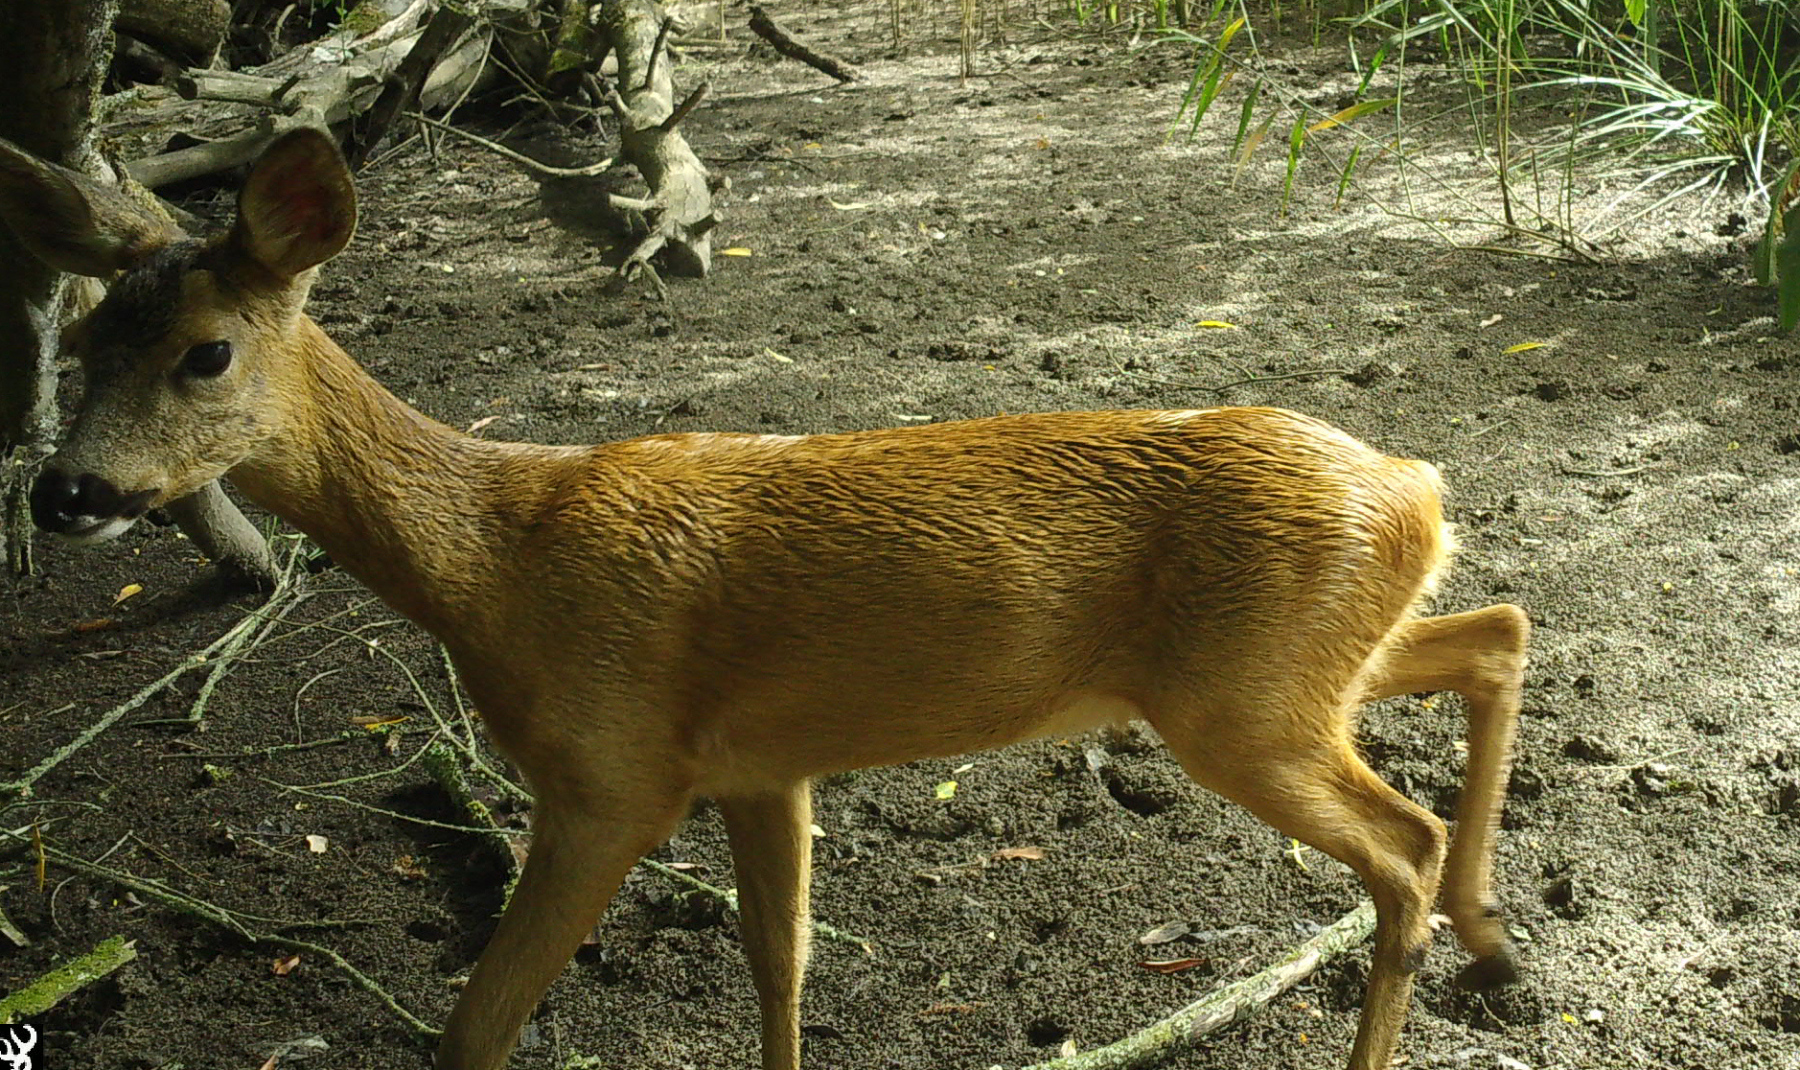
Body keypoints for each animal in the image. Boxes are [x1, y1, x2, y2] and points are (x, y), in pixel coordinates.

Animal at [0, 127, 1528, 1070]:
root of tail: (1417, 483)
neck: (500, 564)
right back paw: (1496, 940)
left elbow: (475, 1026)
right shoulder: (758, 765)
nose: (63, 491)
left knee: (1400, 833)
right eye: (82, 335)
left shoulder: (611, 769)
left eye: (205, 351)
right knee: (1496, 636)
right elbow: (778, 959)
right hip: (1299, 664)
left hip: (1244, 699)